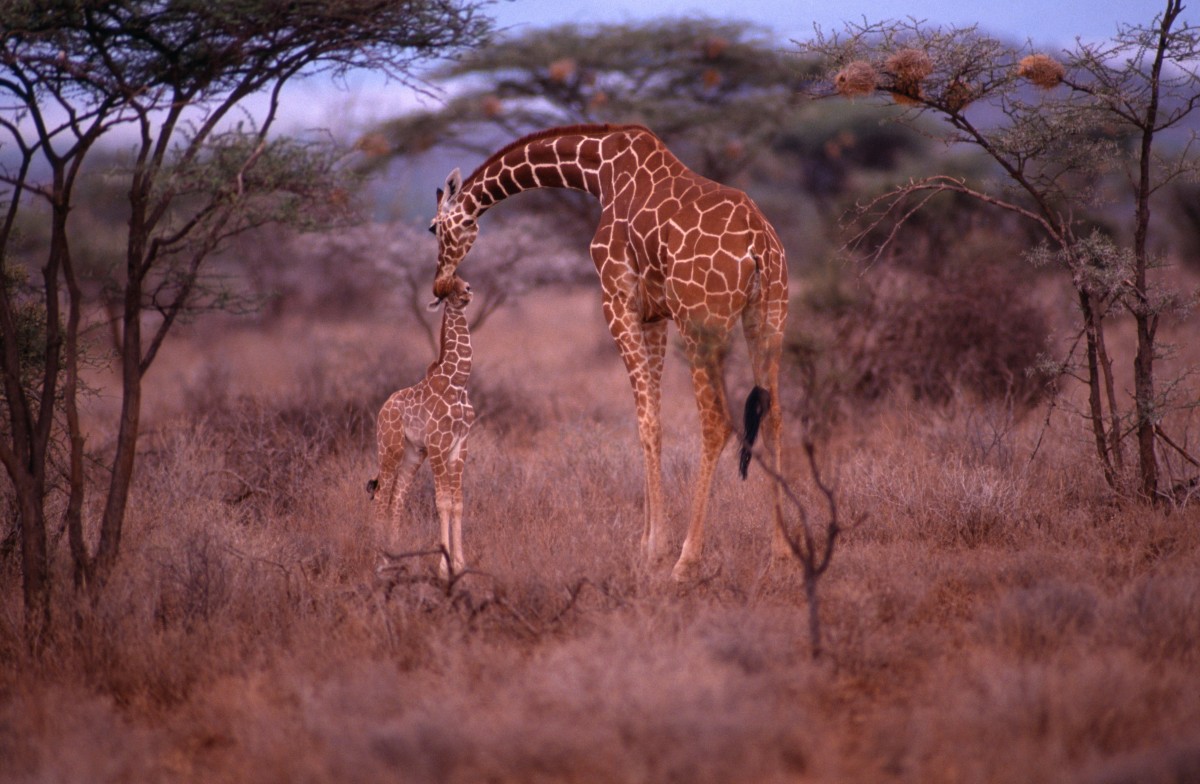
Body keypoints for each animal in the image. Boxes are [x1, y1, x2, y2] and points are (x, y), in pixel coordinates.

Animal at [367, 274, 475, 578]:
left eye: (462, 280)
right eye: (449, 287)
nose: (468, 291)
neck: (457, 382)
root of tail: (383, 408)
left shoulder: (460, 446)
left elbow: (458, 502)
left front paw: (460, 564)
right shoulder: (438, 445)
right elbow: (443, 502)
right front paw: (444, 566)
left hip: (413, 455)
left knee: (396, 500)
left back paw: (393, 557)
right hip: (389, 450)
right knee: (381, 497)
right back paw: (379, 563)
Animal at [428, 124, 789, 581]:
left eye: (433, 228)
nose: (439, 285)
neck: (598, 170)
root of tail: (760, 243)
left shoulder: (618, 301)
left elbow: (646, 422)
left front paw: (655, 549)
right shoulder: (654, 315)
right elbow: (653, 419)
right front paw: (647, 541)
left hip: (701, 323)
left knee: (716, 421)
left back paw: (687, 559)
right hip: (769, 318)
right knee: (774, 416)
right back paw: (783, 553)